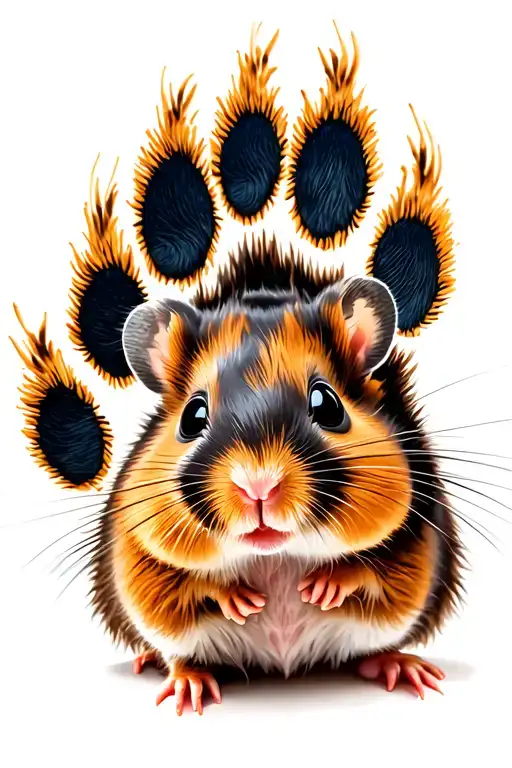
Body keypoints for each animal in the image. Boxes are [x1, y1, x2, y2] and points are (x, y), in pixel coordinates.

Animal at [89, 240, 464, 715]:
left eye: (328, 405)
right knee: (178, 655)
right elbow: (190, 582)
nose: (258, 486)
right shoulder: (144, 560)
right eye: (192, 416)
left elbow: (372, 568)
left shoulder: (413, 540)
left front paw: (322, 588)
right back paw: (186, 686)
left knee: (371, 652)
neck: (276, 557)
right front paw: (240, 600)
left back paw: (405, 669)